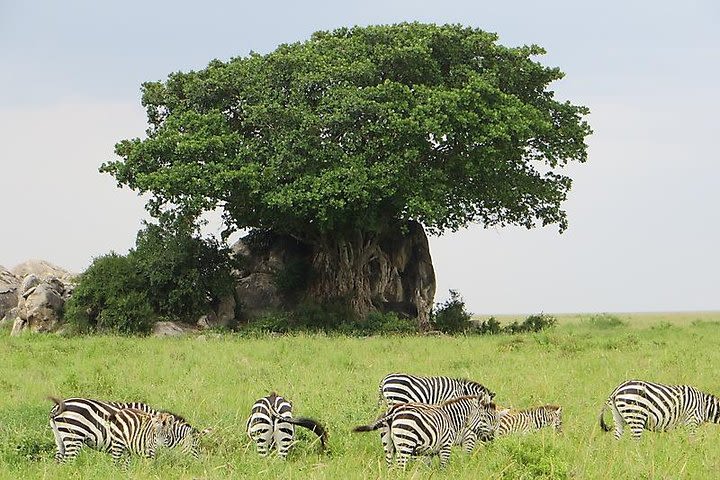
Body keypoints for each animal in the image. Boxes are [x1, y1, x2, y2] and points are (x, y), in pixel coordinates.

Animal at [48, 396, 205, 464]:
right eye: (195, 447)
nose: (199, 465)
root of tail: (58, 406)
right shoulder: (139, 442)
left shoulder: (129, 446)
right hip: (74, 436)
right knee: (68, 462)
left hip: (60, 438)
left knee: (59, 462)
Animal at [354, 398, 500, 468]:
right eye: (485, 418)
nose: (491, 438)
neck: (452, 419)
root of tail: (393, 411)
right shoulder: (447, 445)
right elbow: (444, 467)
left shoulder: (429, 451)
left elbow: (428, 467)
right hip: (405, 443)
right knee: (400, 467)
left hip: (388, 445)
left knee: (390, 467)